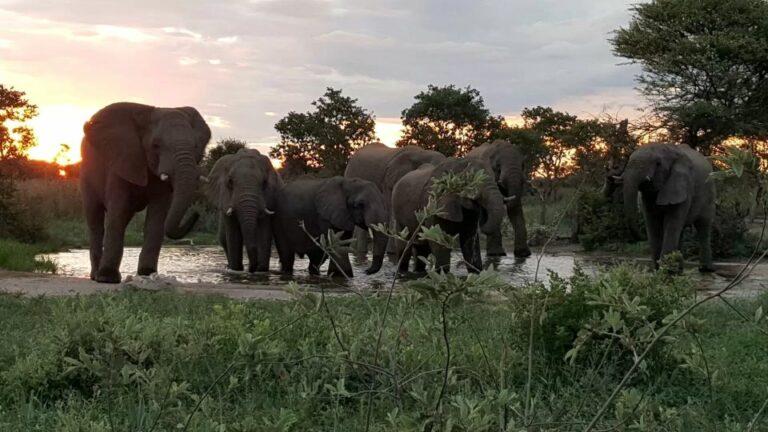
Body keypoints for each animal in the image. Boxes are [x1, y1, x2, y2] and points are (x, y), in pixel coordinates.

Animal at [81, 102, 210, 283]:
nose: (197, 213)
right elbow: (117, 212)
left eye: (196, 146)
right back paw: (95, 275)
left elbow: (157, 216)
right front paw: (107, 278)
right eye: (155, 145)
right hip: (86, 174)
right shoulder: (121, 160)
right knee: (95, 219)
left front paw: (148, 273)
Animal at [615, 143, 715, 272]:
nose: (642, 236)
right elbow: (653, 222)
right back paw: (679, 270)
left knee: (703, 225)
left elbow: (672, 221)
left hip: (709, 192)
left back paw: (705, 269)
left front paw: (665, 270)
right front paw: (658, 270)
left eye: (658, 163)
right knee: (681, 230)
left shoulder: (684, 185)